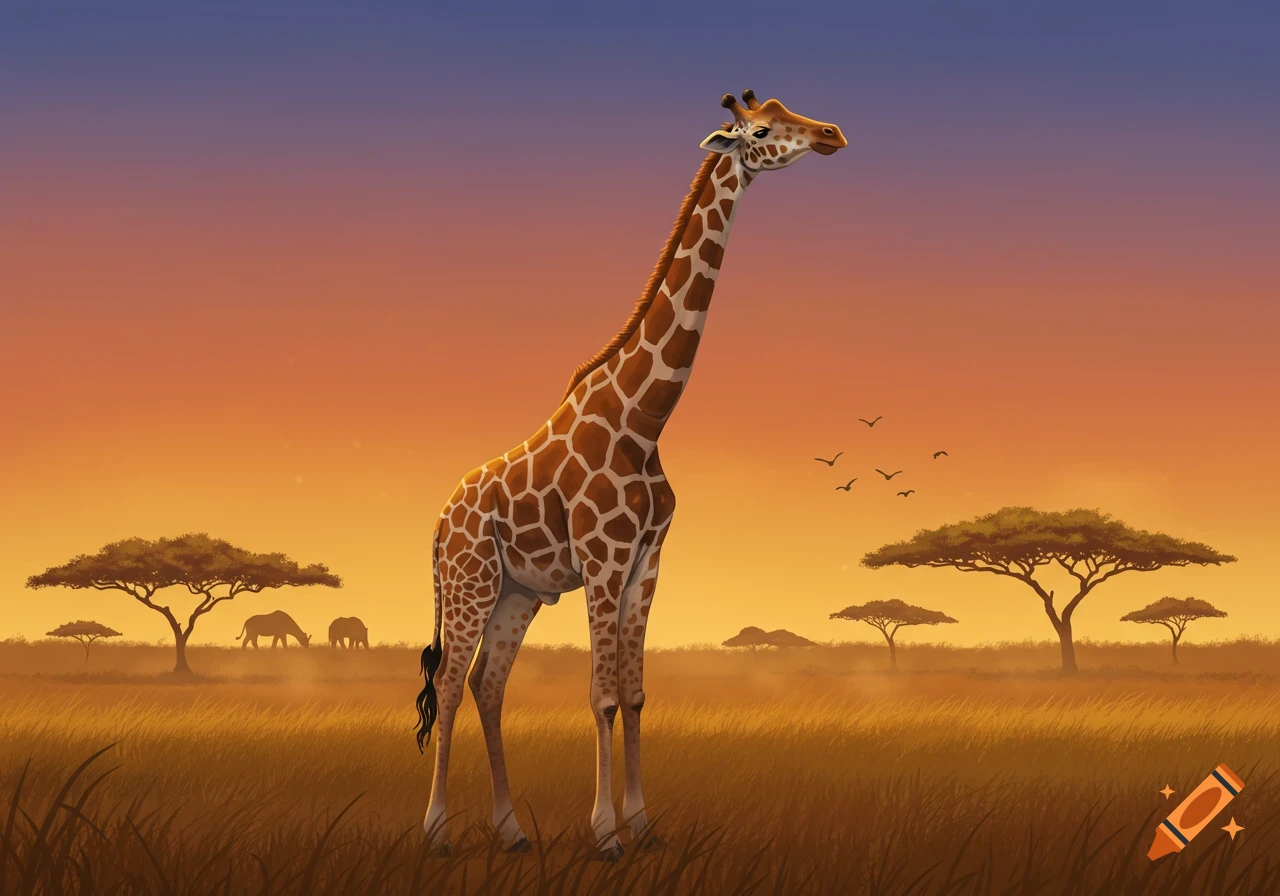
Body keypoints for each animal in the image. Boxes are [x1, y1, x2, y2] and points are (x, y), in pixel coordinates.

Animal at [414, 90, 846, 858]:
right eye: (762, 129)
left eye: (791, 109)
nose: (831, 134)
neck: (644, 419)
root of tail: (437, 524)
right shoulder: (603, 558)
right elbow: (602, 695)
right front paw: (606, 835)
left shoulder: (648, 560)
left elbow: (637, 693)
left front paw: (642, 825)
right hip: (470, 583)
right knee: (455, 683)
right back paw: (436, 832)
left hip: (518, 593)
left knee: (489, 686)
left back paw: (511, 831)